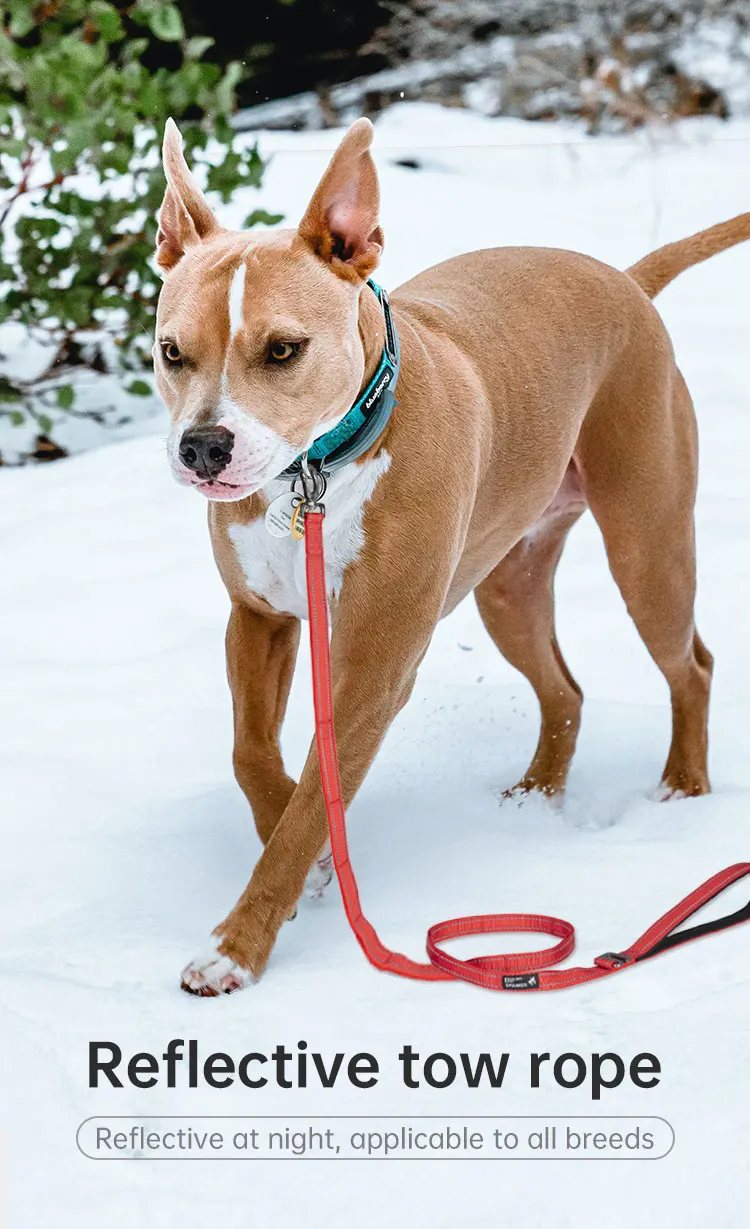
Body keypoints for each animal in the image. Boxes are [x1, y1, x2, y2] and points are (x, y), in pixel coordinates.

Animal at [154, 116, 750, 996]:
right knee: (563, 689)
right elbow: (253, 753)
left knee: (692, 665)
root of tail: (626, 280)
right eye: (171, 352)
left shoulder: (374, 667)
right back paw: (536, 796)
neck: (318, 471)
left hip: (648, 548)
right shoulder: (257, 619)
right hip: (508, 582)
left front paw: (237, 946)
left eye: (283, 350)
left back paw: (682, 787)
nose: (202, 446)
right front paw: (314, 864)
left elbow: (308, 809)